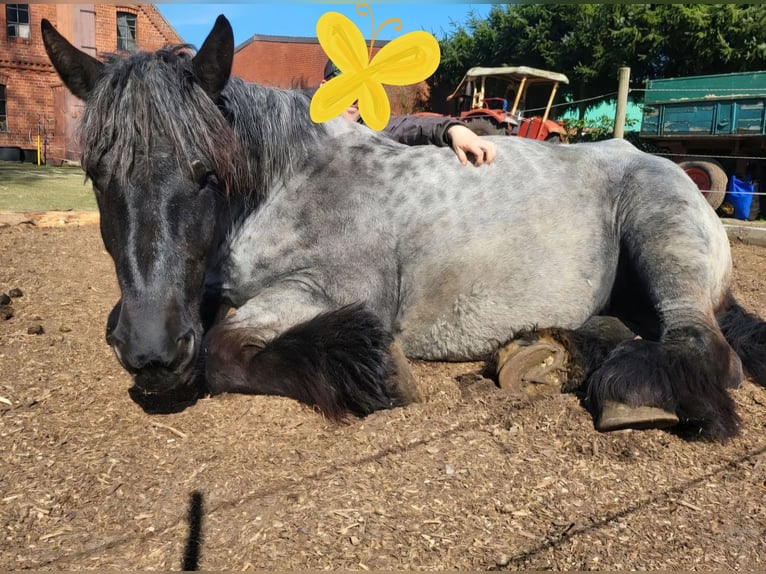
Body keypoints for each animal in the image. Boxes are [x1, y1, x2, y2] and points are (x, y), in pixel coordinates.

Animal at [42, 16, 766, 440]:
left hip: (659, 234)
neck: (287, 181)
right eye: (97, 173)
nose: (151, 351)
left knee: (701, 343)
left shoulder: (327, 291)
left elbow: (222, 347)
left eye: (205, 173)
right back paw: (541, 353)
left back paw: (633, 392)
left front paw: (371, 370)